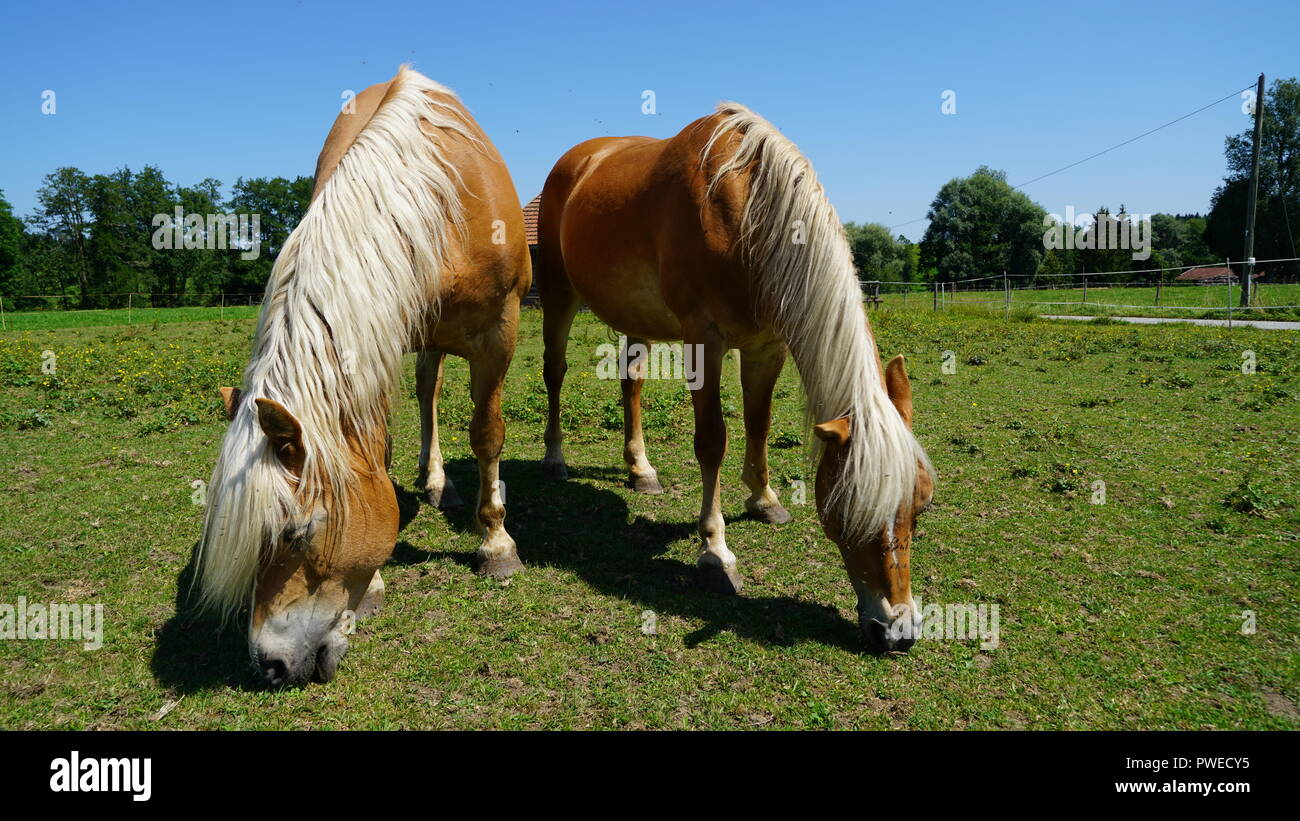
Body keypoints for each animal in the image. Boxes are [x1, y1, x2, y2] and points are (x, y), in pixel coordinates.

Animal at [195, 66, 530, 686]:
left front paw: (496, 544)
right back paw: (435, 480)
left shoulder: (501, 330)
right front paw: (373, 582)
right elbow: (379, 451)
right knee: (427, 393)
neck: (438, 199)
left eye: (297, 532)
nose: (269, 665)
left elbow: (488, 435)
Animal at [536, 103, 935, 651]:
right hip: (558, 294)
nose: (898, 630)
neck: (746, 210)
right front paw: (715, 553)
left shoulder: (768, 346)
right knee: (554, 373)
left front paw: (765, 500)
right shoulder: (703, 339)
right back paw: (554, 458)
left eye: (921, 506)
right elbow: (712, 441)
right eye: (850, 511)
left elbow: (758, 425)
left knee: (631, 383)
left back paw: (641, 470)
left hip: (635, 318)